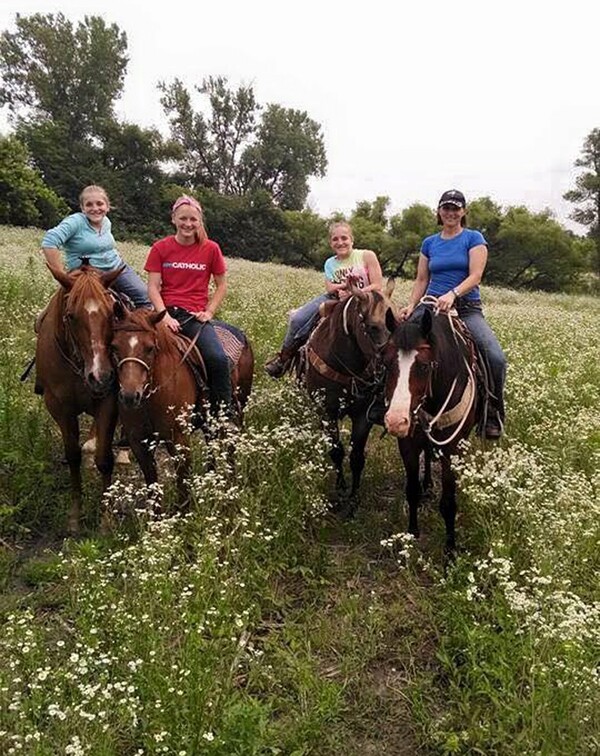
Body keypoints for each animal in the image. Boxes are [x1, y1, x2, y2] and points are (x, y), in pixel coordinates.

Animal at [34, 264, 123, 532]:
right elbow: (72, 456)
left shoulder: (108, 402)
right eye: (71, 316)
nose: (101, 375)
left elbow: (105, 459)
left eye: (112, 312)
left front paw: (106, 520)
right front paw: (74, 517)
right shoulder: (60, 408)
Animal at [110, 304, 253, 504]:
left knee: (230, 446)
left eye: (150, 348)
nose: (130, 396)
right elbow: (153, 491)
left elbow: (183, 490)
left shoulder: (179, 441)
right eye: (114, 346)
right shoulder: (139, 444)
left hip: (237, 411)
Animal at [302, 280, 396, 516]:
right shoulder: (327, 412)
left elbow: (356, 457)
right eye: (372, 327)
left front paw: (353, 499)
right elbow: (336, 451)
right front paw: (341, 489)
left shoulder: (363, 415)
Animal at [382, 304, 480, 552]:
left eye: (424, 365)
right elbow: (412, 490)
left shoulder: (451, 448)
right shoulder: (407, 443)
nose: (396, 421)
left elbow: (448, 503)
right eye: (385, 363)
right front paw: (411, 534)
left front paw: (450, 550)